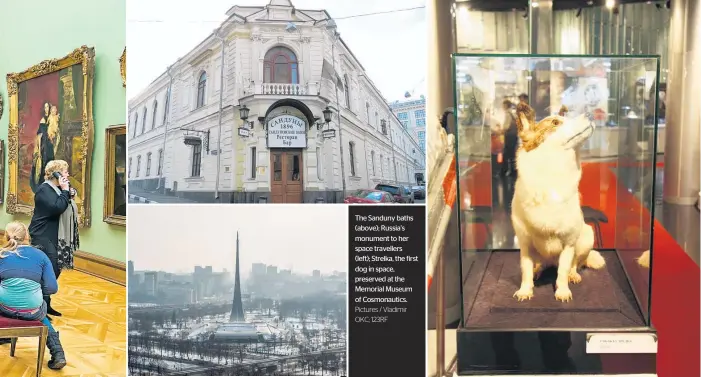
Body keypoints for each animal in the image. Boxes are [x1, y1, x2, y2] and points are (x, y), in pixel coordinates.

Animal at [512, 103, 604, 302]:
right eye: (555, 123)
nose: (590, 114)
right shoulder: (525, 245)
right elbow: (525, 270)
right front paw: (525, 290)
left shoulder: (568, 244)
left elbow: (562, 271)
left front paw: (562, 291)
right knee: (540, 265)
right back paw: (539, 271)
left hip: (587, 236)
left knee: (575, 263)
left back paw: (573, 275)